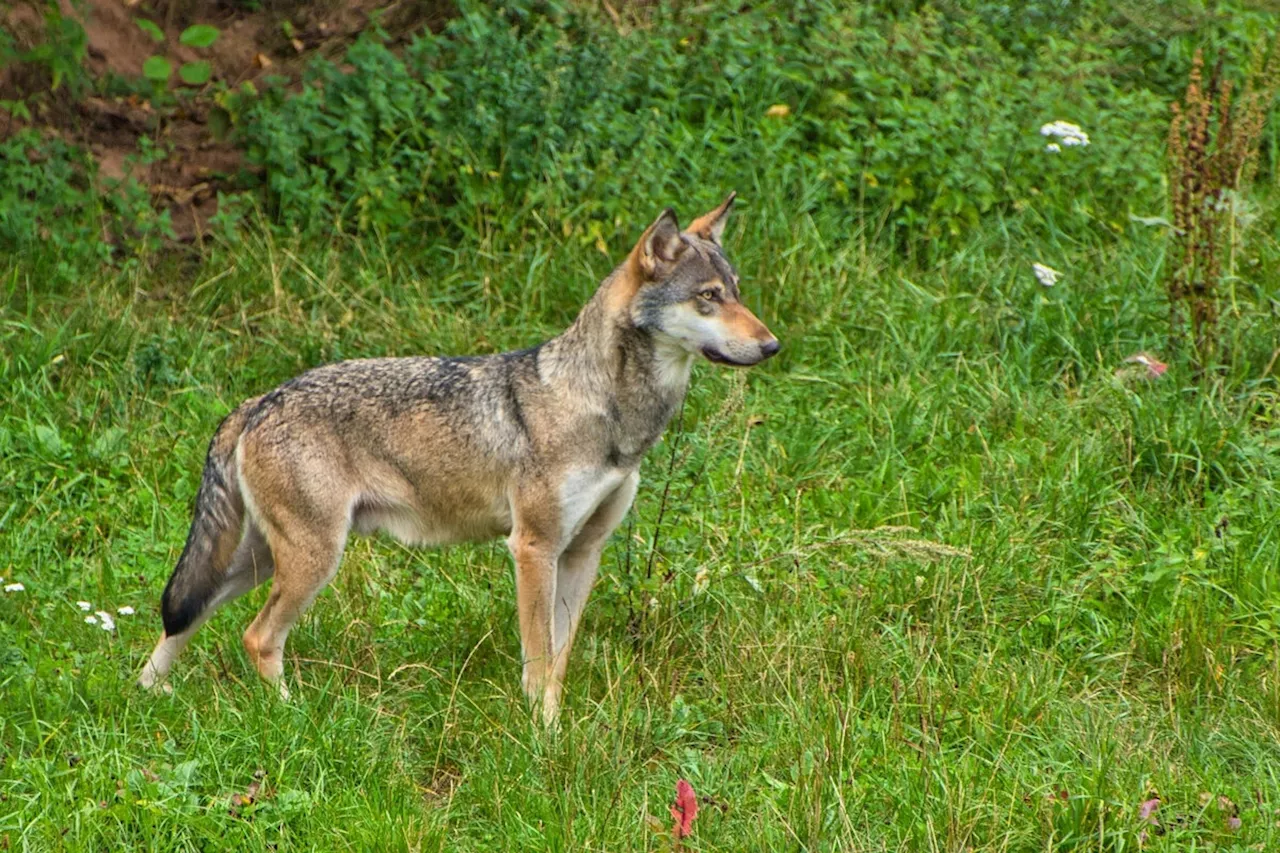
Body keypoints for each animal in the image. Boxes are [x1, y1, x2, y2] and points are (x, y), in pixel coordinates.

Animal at [140, 190, 778, 717]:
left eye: (738, 293)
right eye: (708, 297)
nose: (773, 345)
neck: (608, 412)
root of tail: (256, 402)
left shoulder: (583, 553)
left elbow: (560, 660)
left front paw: (561, 729)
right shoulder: (533, 549)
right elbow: (538, 658)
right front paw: (542, 736)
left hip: (261, 561)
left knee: (182, 616)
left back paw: (147, 696)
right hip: (312, 560)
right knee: (256, 637)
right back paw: (292, 715)